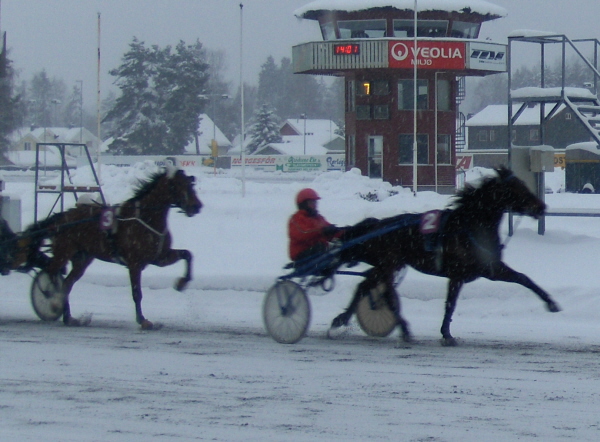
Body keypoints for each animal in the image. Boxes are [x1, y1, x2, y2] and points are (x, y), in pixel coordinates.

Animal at [28, 166, 202, 328]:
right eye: (180, 185)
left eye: (191, 184)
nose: (197, 206)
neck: (147, 218)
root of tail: (61, 217)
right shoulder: (134, 263)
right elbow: (137, 293)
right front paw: (143, 320)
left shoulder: (159, 257)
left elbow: (187, 254)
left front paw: (181, 283)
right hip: (63, 252)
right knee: (51, 274)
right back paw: (52, 302)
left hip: (82, 259)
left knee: (66, 284)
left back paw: (68, 318)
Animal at [330, 167, 560, 348]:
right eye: (516, 188)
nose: (542, 207)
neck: (470, 227)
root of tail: (378, 224)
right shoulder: (469, 273)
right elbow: (452, 303)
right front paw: (447, 335)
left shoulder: (487, 269)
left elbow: (523, 279)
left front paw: (551, 303)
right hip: (389, 265)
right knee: (384, 293)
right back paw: (402, 328)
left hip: (387, 265)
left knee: (365, 286)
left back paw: (342, 319)